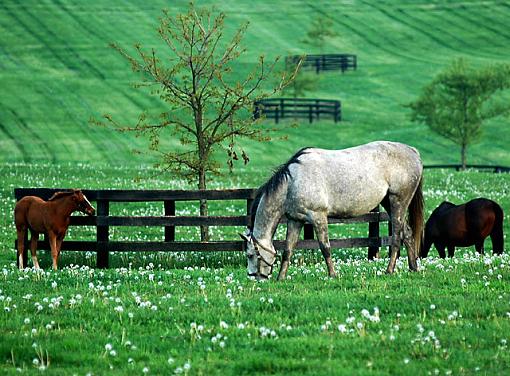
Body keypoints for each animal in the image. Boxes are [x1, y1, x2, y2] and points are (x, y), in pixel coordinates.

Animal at [241, 141, 424, 280]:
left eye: (250, 255)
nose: (254, 278)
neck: (293, 182)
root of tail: (413, 152)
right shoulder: (296, 221)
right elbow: (288, 249)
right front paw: (281, 278)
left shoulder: (318, 217)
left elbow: (325, 247)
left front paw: (333, 275)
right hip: (388, 203)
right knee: (407, 233)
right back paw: (413, 268)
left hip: (397, 202)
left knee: (397, 237)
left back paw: (389, 270)